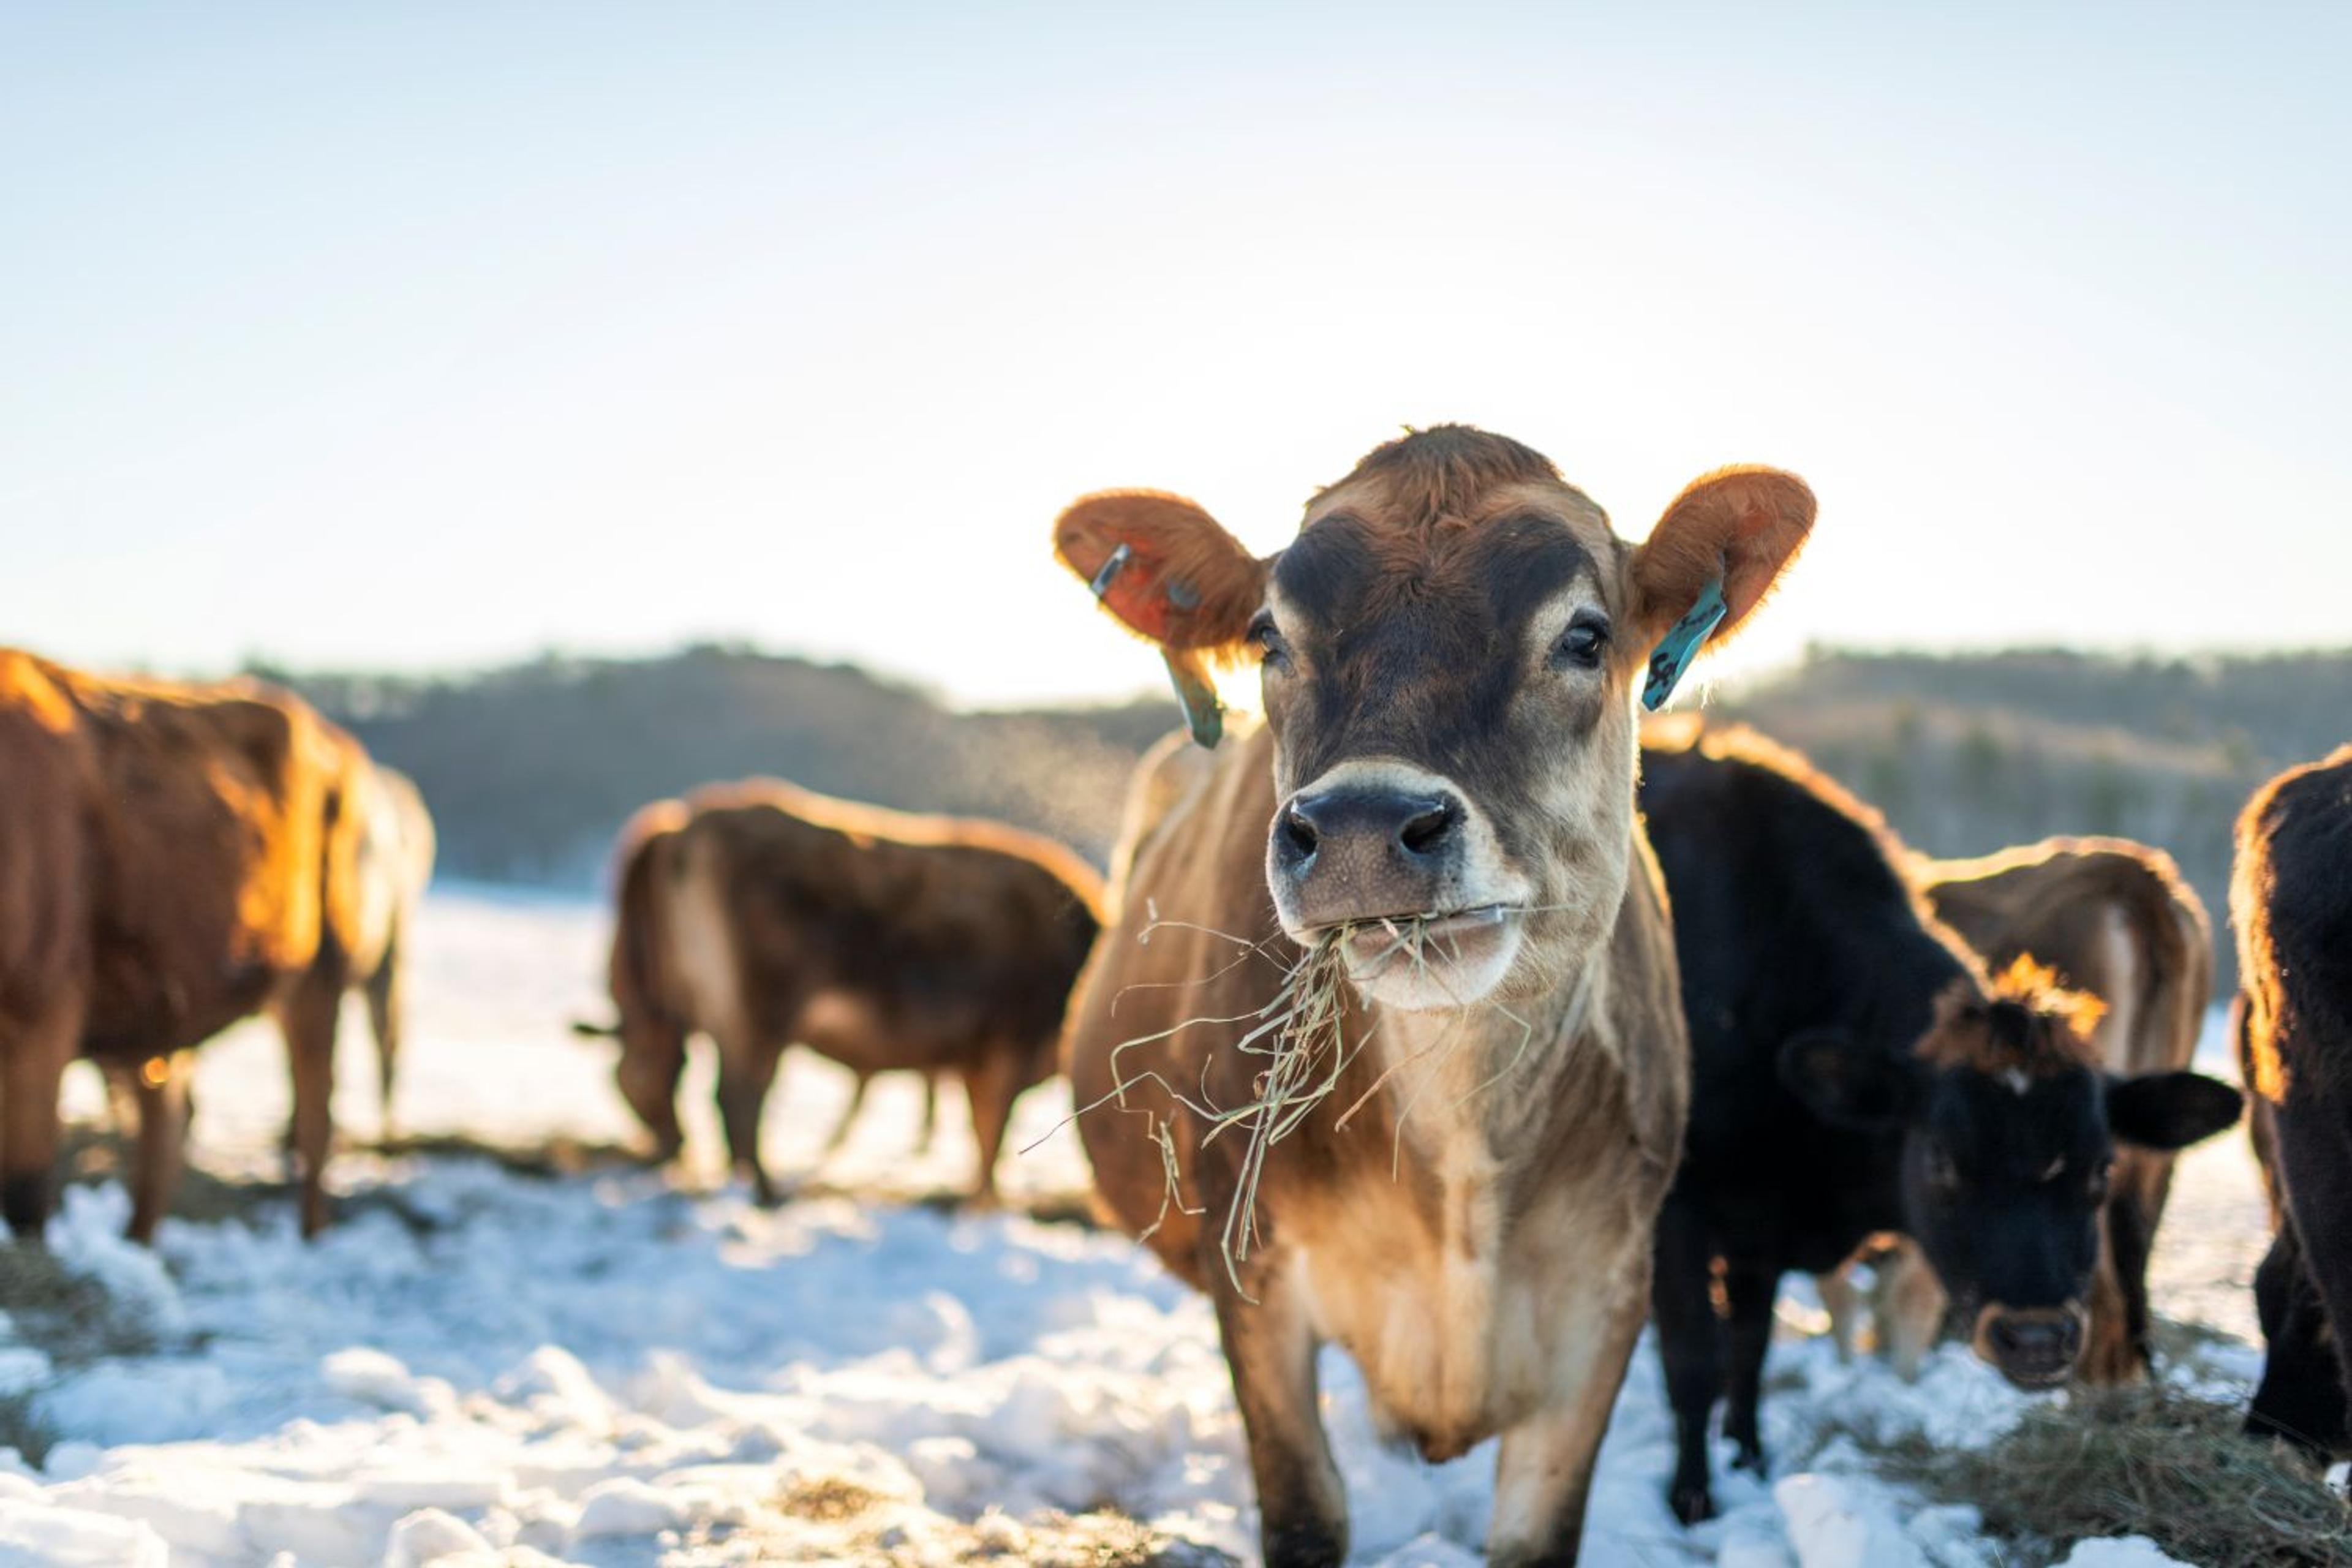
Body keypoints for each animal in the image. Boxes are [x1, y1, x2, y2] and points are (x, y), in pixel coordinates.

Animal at [0, 649, 366, 1243]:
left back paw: (312, 1239)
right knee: (164, 1132)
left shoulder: (44, 1006)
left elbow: (25, 1198)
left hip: (319, 972)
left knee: (316, 1121)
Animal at [576, 781, 1103, 1204]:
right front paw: (983, 1203)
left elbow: (984, 1137)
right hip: (758, 1015)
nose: (667, 1149)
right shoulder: (1005, 1050)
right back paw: (766, 1193)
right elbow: (990, 1137)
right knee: (740, 1099)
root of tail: (684, 828)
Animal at [1050, 425, 1816, 1567]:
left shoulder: (1608, 1294)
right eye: (1270, 636)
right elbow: (1306, 1513)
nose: (1364, 826)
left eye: (1585, 636)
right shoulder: (1256, 1279)